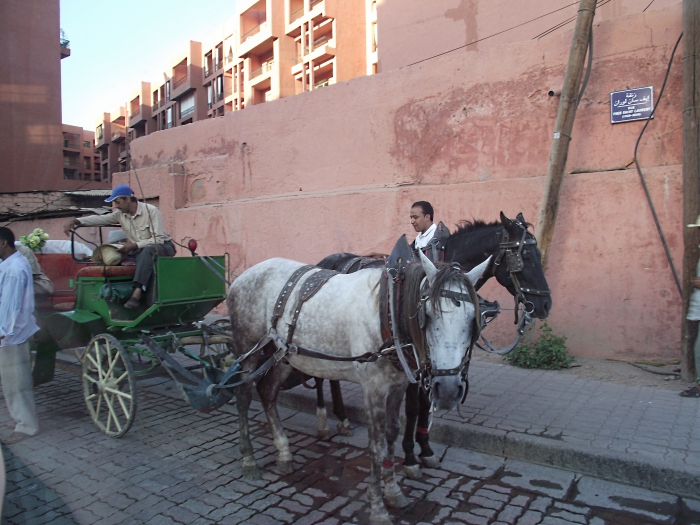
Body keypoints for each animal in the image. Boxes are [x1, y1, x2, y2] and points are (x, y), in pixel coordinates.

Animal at [227, 252, 490, 520]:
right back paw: (249, 458)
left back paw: (284, 452)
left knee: (267, 391)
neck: (388, 312)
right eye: (426, 316)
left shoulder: (397, 386)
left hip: (283, 355)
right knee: (243, 394)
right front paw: (377, 507)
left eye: (473, 320)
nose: (447, 390)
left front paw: (393, 492)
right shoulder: (373, 388)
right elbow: (376, 445)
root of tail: (245, 274)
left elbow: (392, 435)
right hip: (249, 349)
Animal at [314, 211, 552, 476]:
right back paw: (324, 422)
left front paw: (425, 449)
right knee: (319, 376)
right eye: (526, 256)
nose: (545, 304)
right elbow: (413, 408)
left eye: (538, 253)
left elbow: (426, 404)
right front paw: (409, 457)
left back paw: (342, 419)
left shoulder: (433, 363)